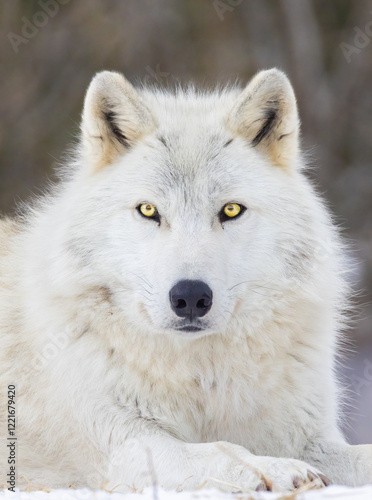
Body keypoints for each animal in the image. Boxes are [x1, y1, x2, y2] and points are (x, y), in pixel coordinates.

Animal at [0, 69, 372, 492]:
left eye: (231, 210)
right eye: (148, 210)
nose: (190, 296)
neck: (200, 376)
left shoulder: (307, 435)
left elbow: (358, 455)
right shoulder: (125, 446)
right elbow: (220, 449)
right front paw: (276, 469)